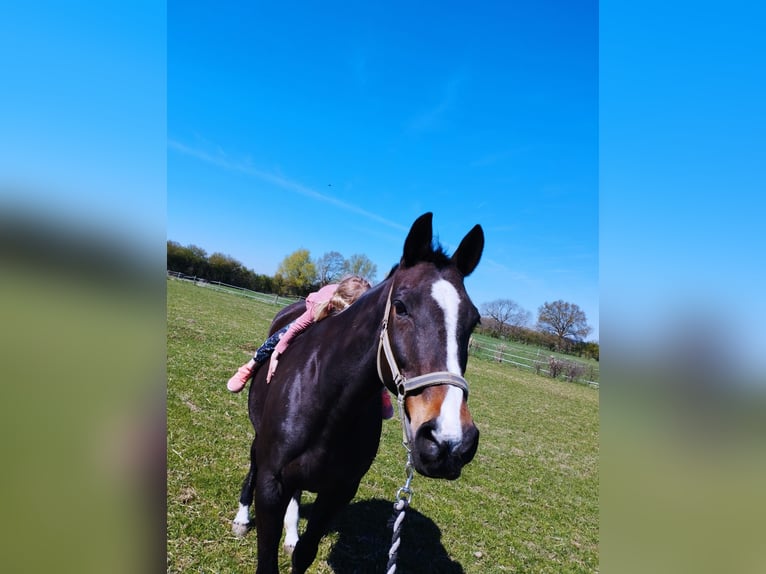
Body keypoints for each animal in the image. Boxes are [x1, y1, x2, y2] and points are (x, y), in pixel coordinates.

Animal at [232, 212, 484, 573]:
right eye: (400, 306)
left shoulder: (339, 492)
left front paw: (294, 539)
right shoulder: (271, 484)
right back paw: (241, 517)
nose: (449, 442)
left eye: (474, 321)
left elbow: (303, 553)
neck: (328, 404)